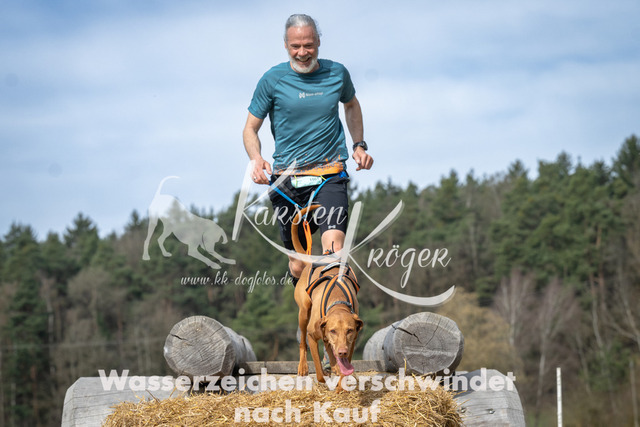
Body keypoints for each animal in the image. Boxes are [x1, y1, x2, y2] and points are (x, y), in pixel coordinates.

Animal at [291, 205, 363, 391]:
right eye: (333, 330)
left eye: (349, 330)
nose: (342, 351)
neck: (337, 302)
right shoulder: (313, 334)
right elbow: (318, 370)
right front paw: (324, 379)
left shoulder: (352, 341)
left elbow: (344, 367)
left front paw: (340, 385)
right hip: (303, 313)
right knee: (302, 342)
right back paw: (303, 366)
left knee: (328, 348)